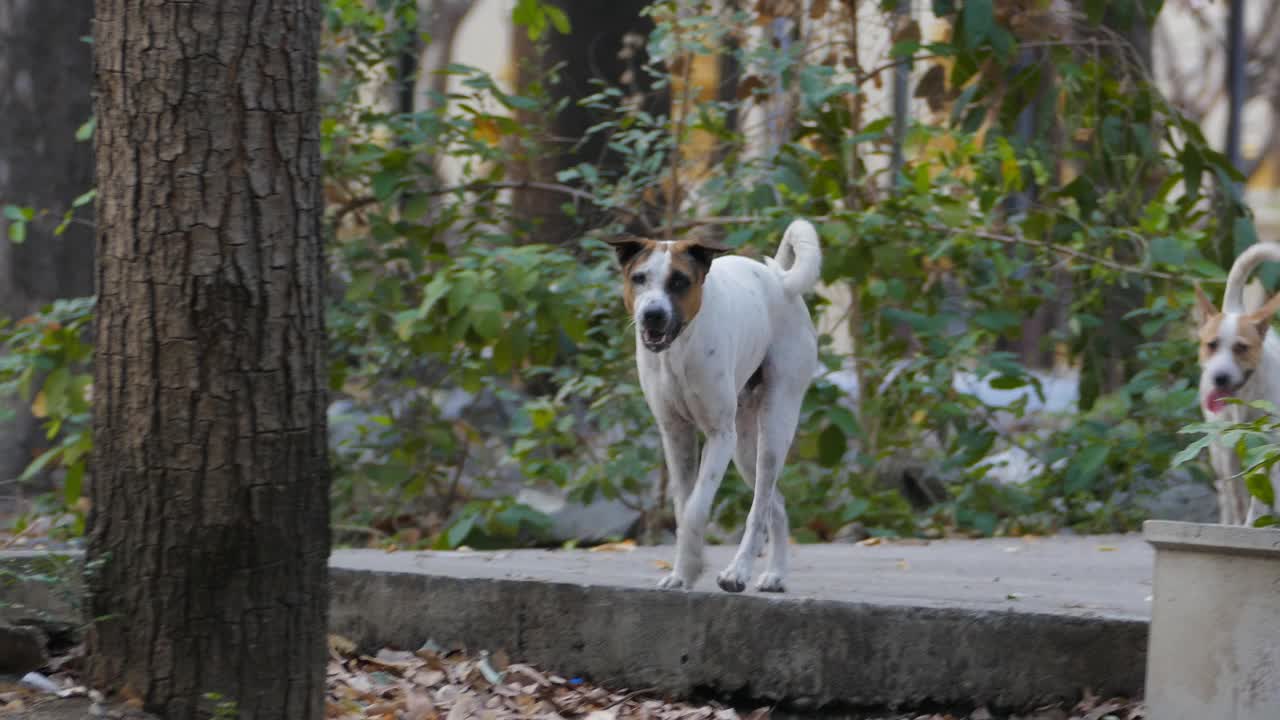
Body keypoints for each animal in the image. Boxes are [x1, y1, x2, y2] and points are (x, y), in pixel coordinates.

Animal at [606, 217, 824, 589]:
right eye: (639, 278)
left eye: (680, 281)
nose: (652, 314)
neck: (679, 351)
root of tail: (780, 281)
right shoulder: (675, 435)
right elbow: (682, 509)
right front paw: (681, 574)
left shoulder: (720, 435)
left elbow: (695, 508)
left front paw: (694, 565)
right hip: (745, 448)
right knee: (774, 504)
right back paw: (775, 573)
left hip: (773, 426)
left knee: (759, 507)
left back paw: (738, 572)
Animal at [1192, 240, 1280, 520]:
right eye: (1211, 345)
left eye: (1241, 348)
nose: (1219, 378)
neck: (1246, 397)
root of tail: (1236, 311)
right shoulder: (1229, 448)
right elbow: (1238, 497)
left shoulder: (1268, 447)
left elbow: (1260, 496)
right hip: (1216, 449)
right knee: (1225, 492)